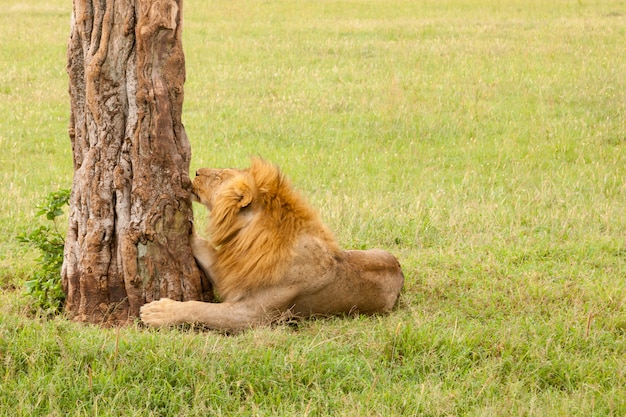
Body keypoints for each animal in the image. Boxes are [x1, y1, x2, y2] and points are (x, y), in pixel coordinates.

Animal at [140, 158, 404, 330]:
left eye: (221, 176)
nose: (194, 171)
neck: (247, 239)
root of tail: (400, 269)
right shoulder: (233, 272)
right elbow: (204, 249)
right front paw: (185, 227)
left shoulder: (253, 315)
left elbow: (202, 309)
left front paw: (158, 311)